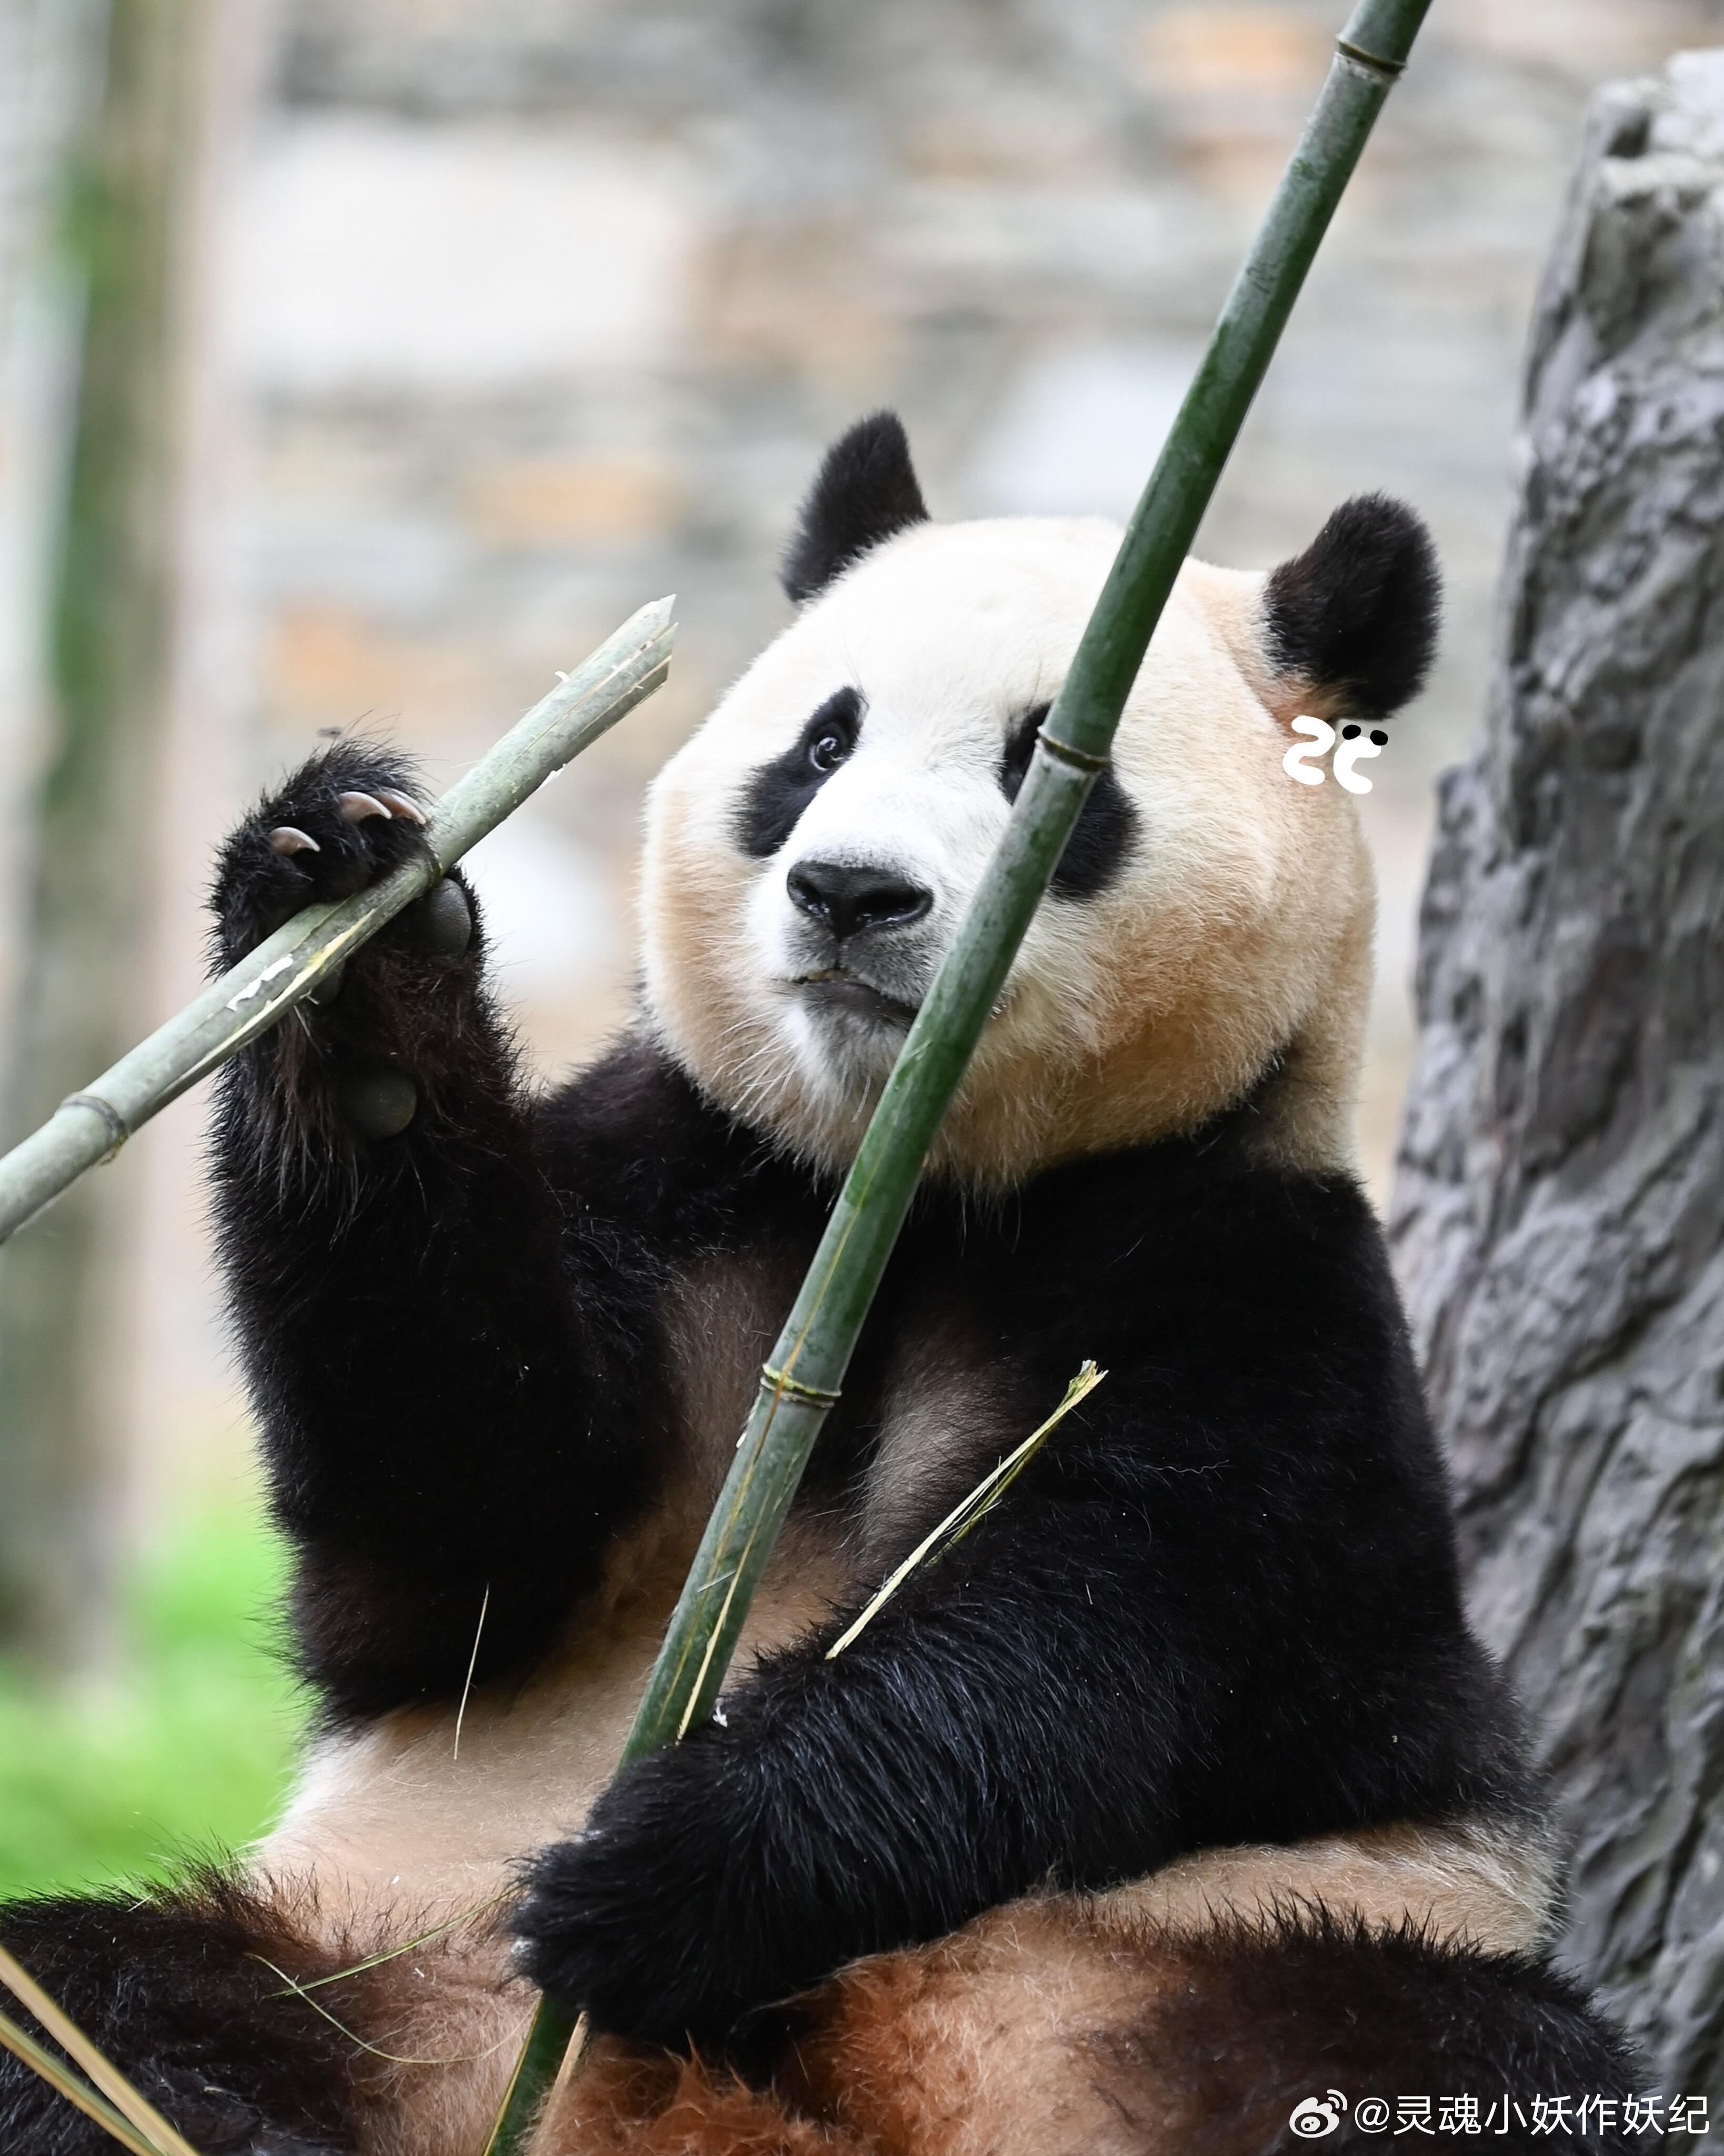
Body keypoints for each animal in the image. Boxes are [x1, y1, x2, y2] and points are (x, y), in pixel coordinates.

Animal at [3, 407, 1646, 2156]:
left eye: (1046, 763)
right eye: (816, 748)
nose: (849, 891)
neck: (909, 1193)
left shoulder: (1246, 1281)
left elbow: (1104, 1623)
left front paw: (667, 1871)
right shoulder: (697, 1193)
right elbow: (457, 1531)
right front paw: (357, 961)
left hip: (1228, 1952)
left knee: (1438, 2057)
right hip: (380, 1956)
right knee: (101, 2005)